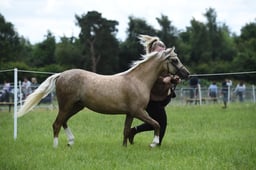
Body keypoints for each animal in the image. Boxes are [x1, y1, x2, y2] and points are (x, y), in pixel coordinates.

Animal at [17, 47, 190, 147]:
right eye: (174, 60)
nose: (186, 74)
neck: (137, 81)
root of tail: (61, 75)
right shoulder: (139, 111)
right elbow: (157, 124)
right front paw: (154, 143)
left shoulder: (130, 113)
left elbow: (126, 131)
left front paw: (125, 147)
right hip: (66, 105)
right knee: (57, 124)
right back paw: (56, 146)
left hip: (76, 106)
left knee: (63, 122)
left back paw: (71, 142)